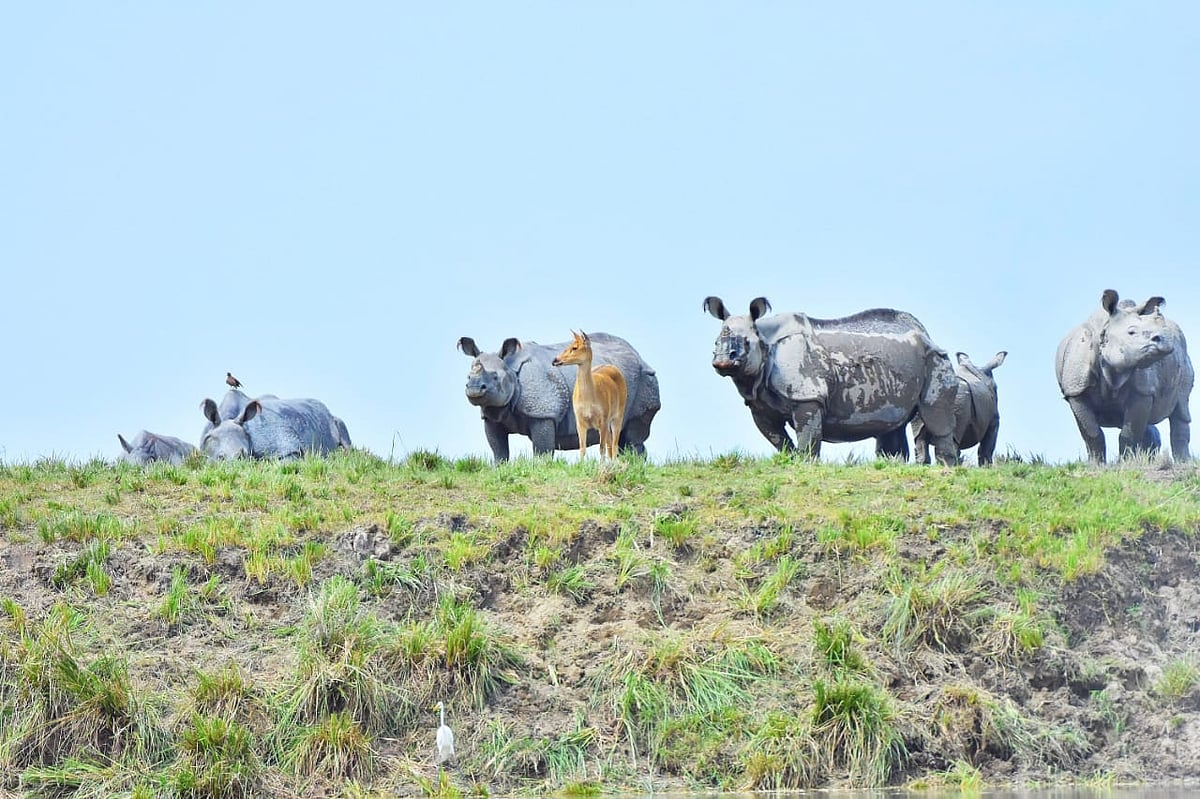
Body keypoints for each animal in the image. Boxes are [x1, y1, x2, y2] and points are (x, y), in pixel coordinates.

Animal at [457, 333, 661, 462]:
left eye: (495, 377)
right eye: (467, 377)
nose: (474, 389)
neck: (511, 369)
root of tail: (639, 356)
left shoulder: (543, 413)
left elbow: (542, 450)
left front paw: (541, 468)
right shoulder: (492, 414)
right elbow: (498, 449)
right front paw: (500, 468)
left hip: (645, 379)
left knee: (632, 434)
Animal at [703, 296, 960, 464]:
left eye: (746, 344)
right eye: (715, 343)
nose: (723, 362)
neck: (764, 341)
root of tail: (926, 333)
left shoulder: (808, 395)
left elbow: (807, 438)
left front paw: (806, 465)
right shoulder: (758, 404)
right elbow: (779, 440)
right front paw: (790, 461)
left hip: (935, 357)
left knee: (935, 416)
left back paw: (947, 469)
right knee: (893, 426)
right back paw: (891, 465)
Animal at [1055, 289, 1193, 462]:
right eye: (1131, 332)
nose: (1166, 340)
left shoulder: (1143, 391)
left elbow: (1129, 434)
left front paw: (1128, 463)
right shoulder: (1076, 391)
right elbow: (1092, 433)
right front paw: (1096, 464)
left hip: (1185, 361)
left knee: (1181, 407)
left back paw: (1184, 462)